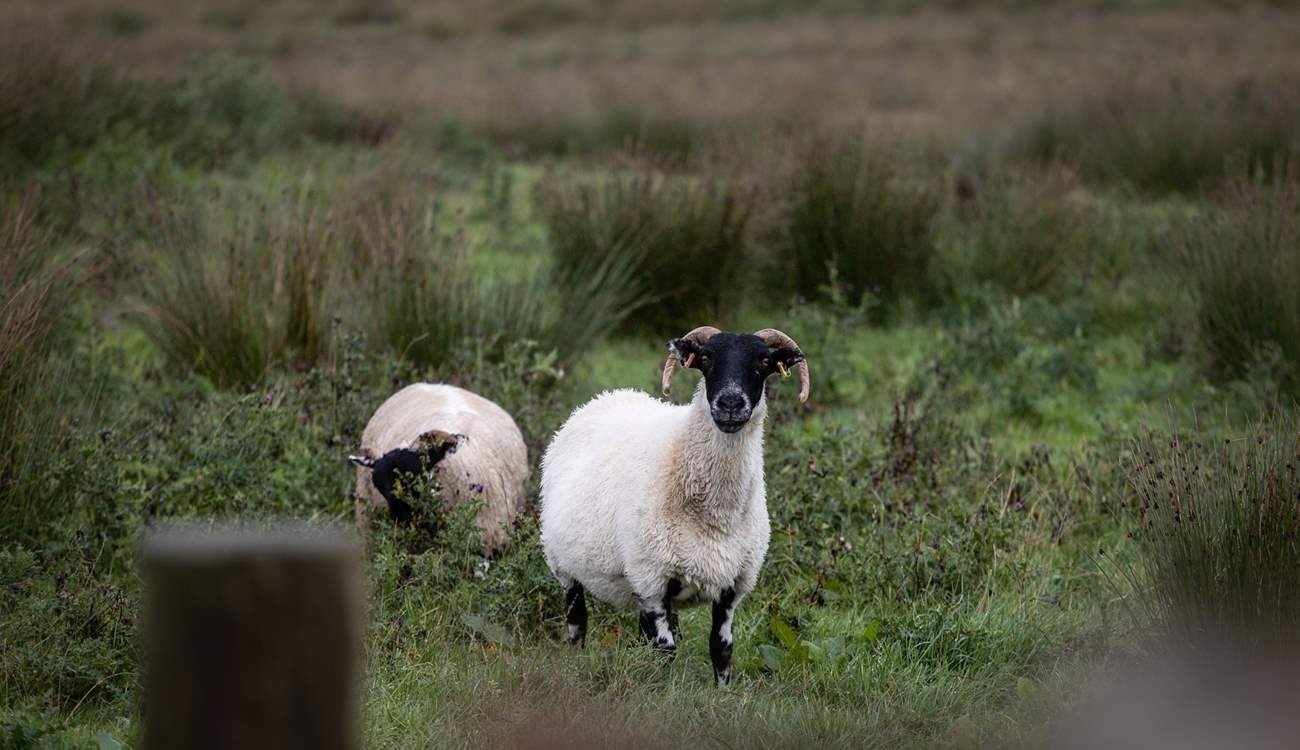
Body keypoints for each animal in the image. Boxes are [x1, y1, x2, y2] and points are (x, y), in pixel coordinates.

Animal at [539, 326, 809, 685]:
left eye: (764, 361)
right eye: (706, 358)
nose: (730, 403)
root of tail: (607, 396)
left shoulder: (732, 585)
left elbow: (722, 650)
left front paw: (722, 692)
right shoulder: (653, 578)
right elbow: (665, 650)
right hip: (565, 566)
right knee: (576, 621)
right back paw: (575, 663)